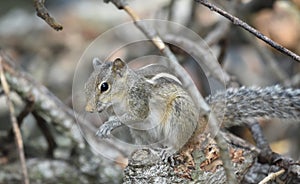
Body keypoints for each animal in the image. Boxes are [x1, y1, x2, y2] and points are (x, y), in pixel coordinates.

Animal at [84, 57, 300, 158]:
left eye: (104, 86)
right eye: (86, 84)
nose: (88, 110)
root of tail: (201, 122)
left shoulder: (140, 101)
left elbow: (134, 116)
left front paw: (110, 124)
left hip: (178, 113)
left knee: (180, 141)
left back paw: (170, 150)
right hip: (140, 134)